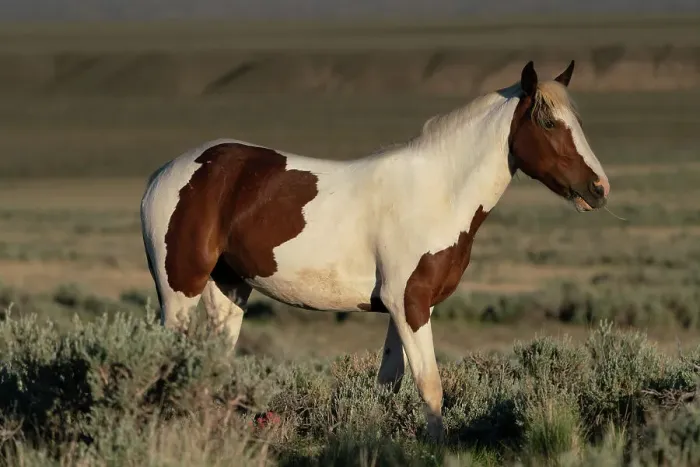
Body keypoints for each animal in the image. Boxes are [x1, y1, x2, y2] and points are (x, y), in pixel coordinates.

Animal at [140, 60, 610, 441]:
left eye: (577, 121)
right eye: (548, 124)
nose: (599, 189)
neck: (437, 192)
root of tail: (164, 173)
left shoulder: (407, 308)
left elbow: (390, 383)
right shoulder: (409, 304)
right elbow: (430, 386)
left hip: (230, 290)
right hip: (179, 291)